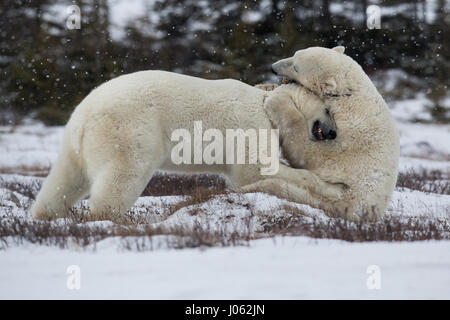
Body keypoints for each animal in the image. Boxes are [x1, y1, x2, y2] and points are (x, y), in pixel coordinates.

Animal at [31, 69, 344, 221]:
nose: (332, 133)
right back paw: (113, 219)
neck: (265, 102)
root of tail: (85, 115)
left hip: (74, 144)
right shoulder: (251, 125)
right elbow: (254, 171)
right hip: (130, 130)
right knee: (122, 177)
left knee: (64, 179)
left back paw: (45, 215)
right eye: (329, 110)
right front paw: (334, 185)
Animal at [266, 45, 400, 220]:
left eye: (296, 67)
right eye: (295, 54)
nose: (273, 68)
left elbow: (313, 154)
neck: (349, 96)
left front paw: (276, 100)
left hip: (345, 198)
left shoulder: (352, 139)